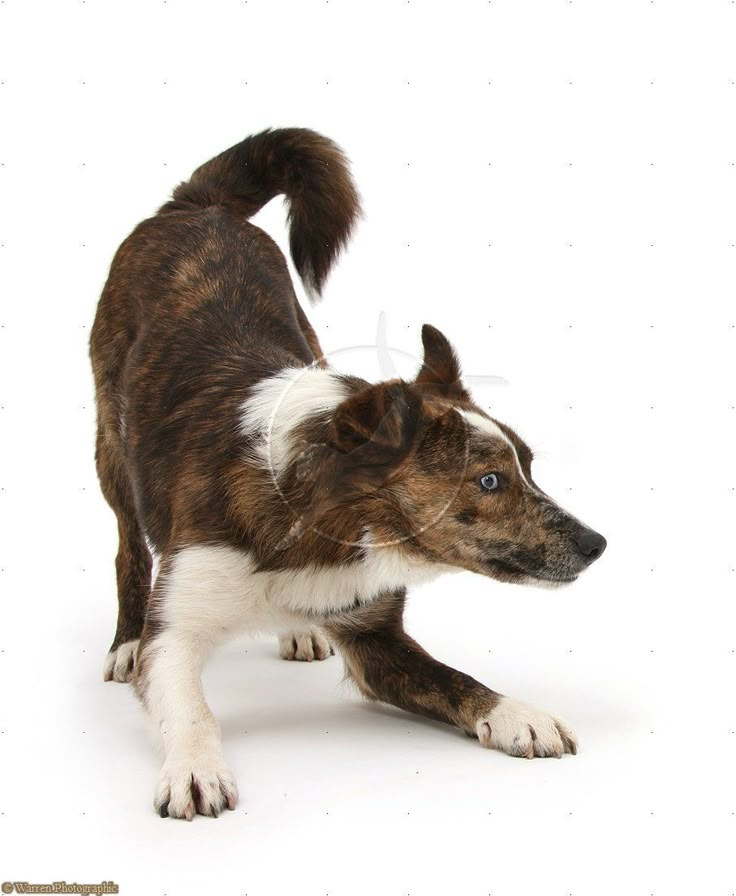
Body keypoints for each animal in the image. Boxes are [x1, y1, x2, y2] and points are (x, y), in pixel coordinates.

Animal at [89, 126, 608, 820]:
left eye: (528, 467)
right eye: (489, 481)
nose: (597, 544)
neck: (321, 525)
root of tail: (200, 206)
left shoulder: (376, 639)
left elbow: (458, 681)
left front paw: (517, 713)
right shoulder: (174, 634)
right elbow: (190, 706)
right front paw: (195, 767)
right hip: (110, 448)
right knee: (126, 542)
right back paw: (123, 638)